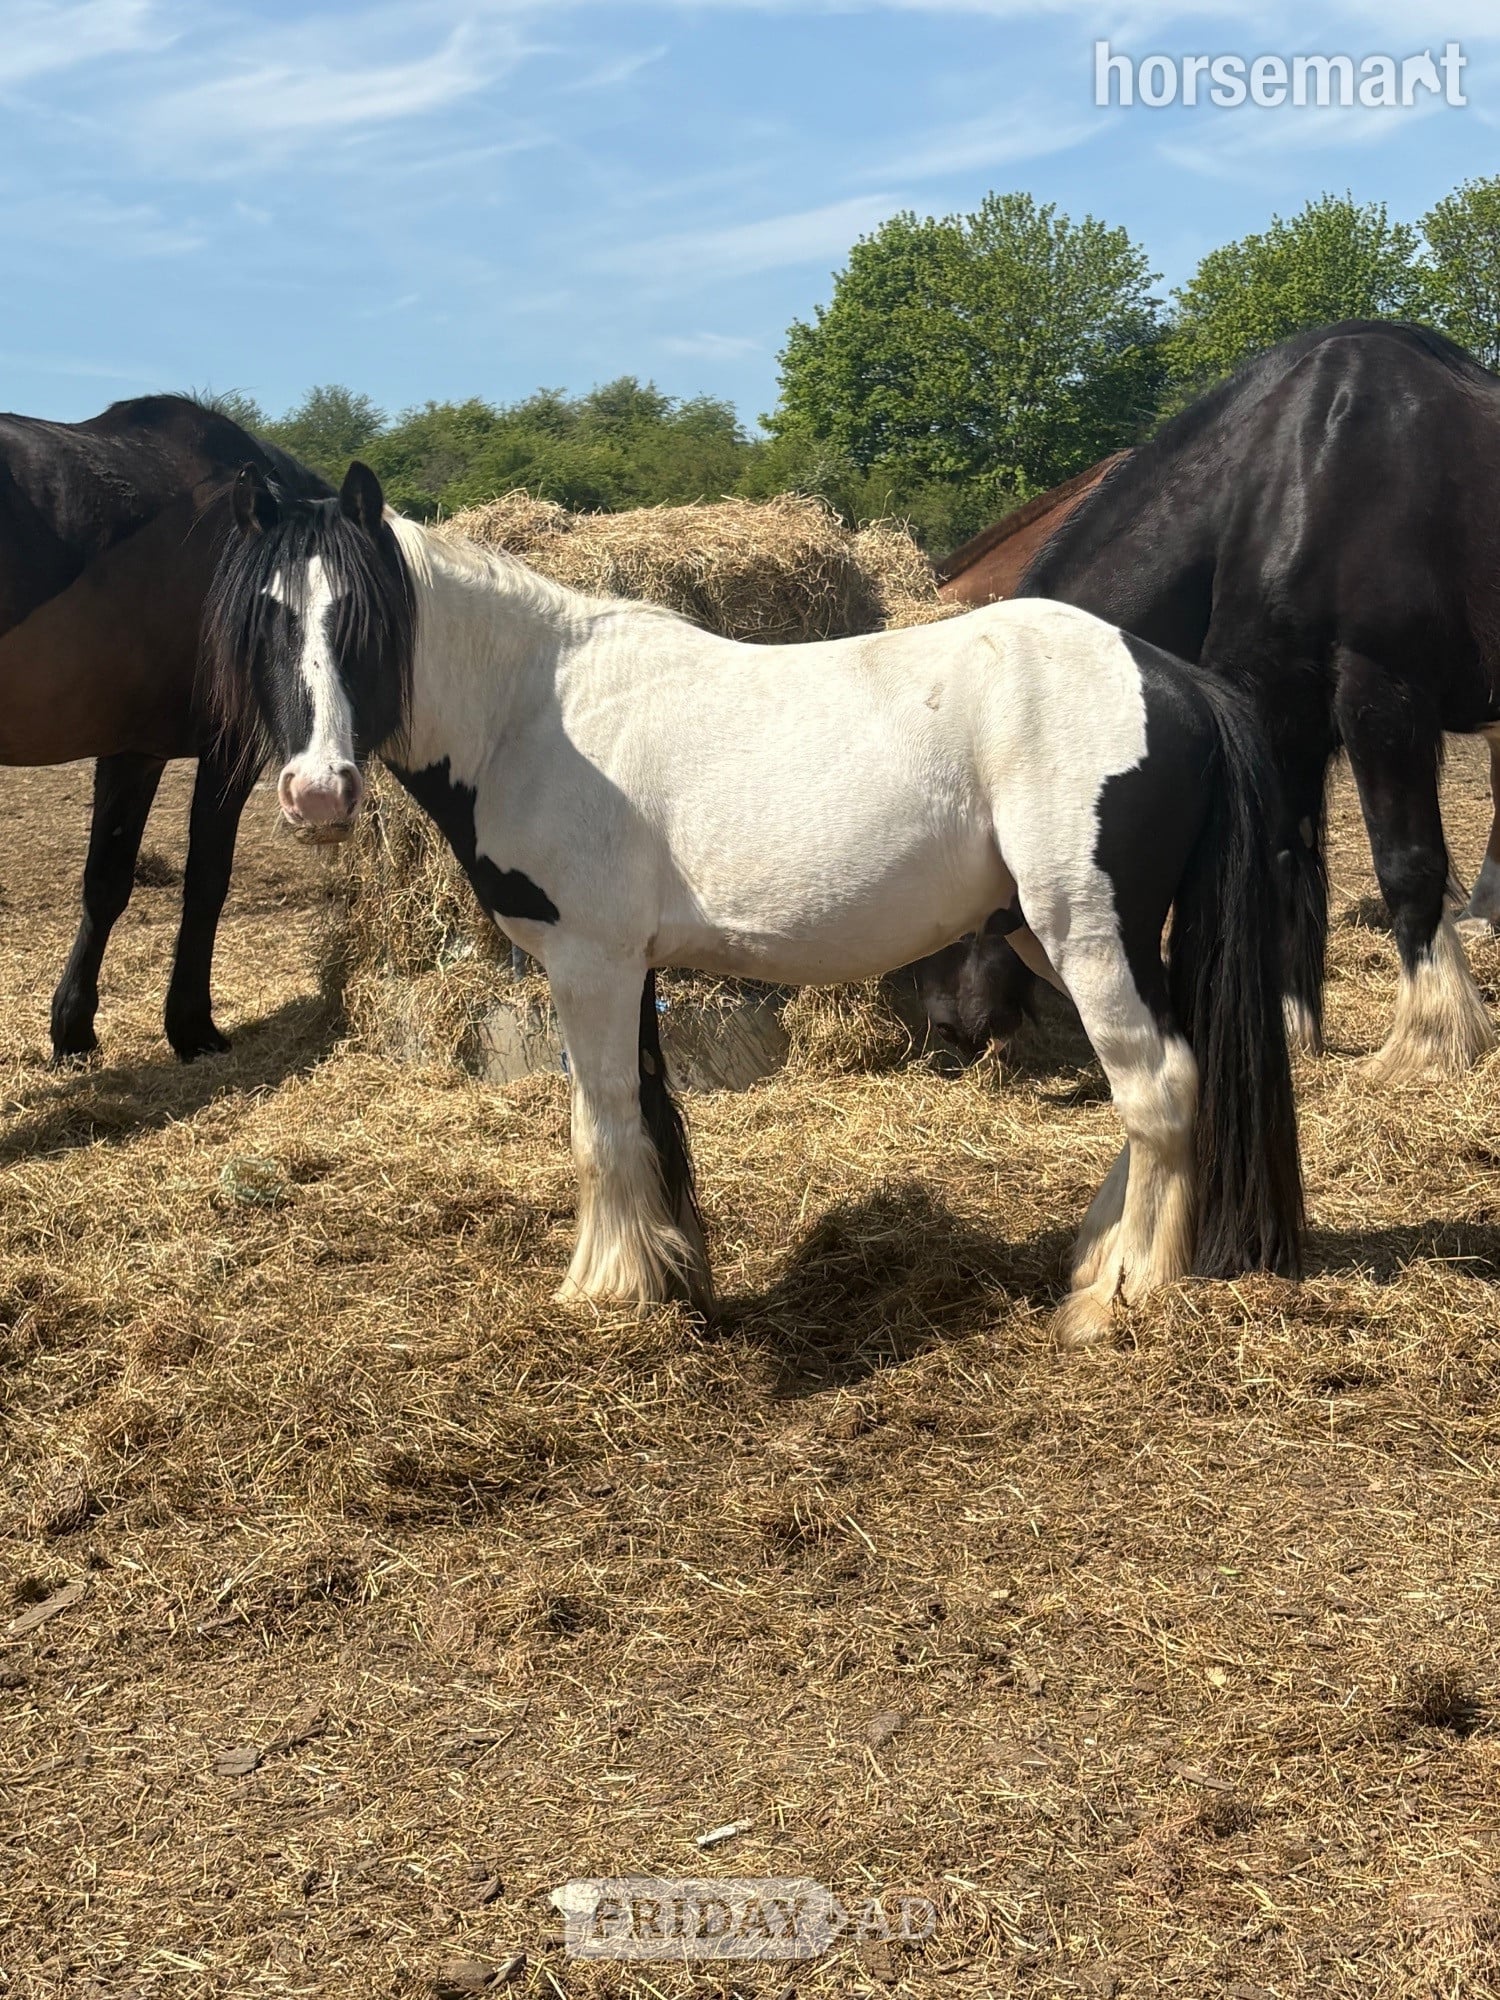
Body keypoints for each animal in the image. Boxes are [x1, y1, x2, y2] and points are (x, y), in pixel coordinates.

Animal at [0, 395, 326, 1061]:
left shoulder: (134, 752)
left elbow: (106, 884)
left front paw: (73, 1027)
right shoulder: (228, 749)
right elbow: (206, 881)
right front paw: (192, 1025)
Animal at [203, 461, 1304, 1347]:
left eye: (362, 618)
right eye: (267, 616)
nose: (317, 793)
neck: (535, 711)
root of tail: (1174, 679)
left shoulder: (590, 959)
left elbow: (603, 1124)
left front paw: (604, 1292)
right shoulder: (627, 965)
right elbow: (647, 1117)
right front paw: (669, 1274)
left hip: (1091, 935)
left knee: (1157, 1088)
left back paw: (1117, 1296)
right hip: (1055, 937)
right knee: (1168, 1080)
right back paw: (1101, 1256)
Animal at [1019, 320, 1500, 1082]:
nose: (949, 1032)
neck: (1296, 478)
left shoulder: (1382, 699)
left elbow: (1409, 863)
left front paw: (1431, 1038)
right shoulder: (1284, 717)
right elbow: (1283, 863)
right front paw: (1292, 1023)